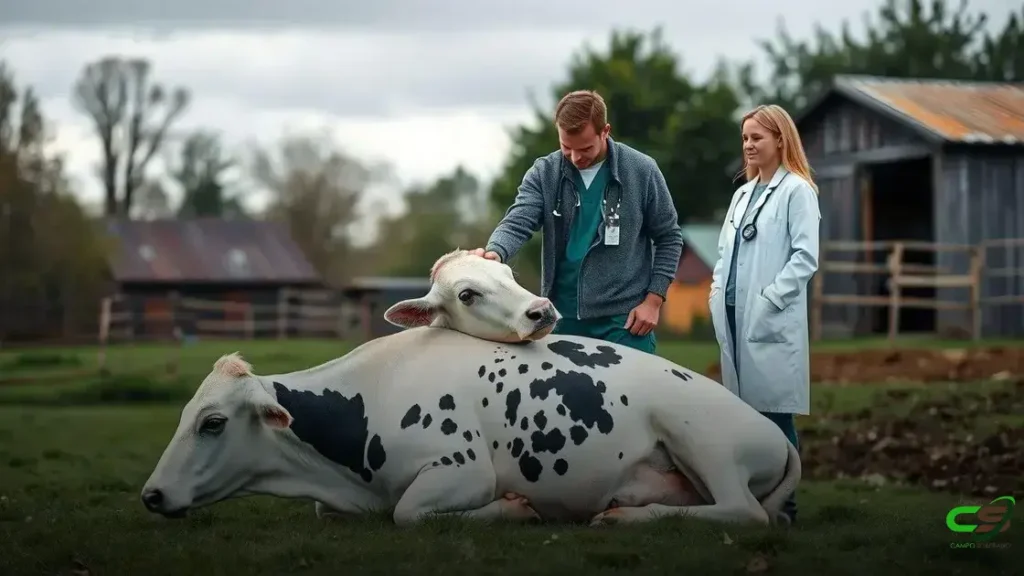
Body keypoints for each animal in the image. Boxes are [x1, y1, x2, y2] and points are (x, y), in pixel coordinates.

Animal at [139, 252, 801, 528]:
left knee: (742, 511)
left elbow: (409, 513)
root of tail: (775, 432)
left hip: (699, 436)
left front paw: (512, 509)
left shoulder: (461, 470)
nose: (151, 494)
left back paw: (625, 519)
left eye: (213, 423)